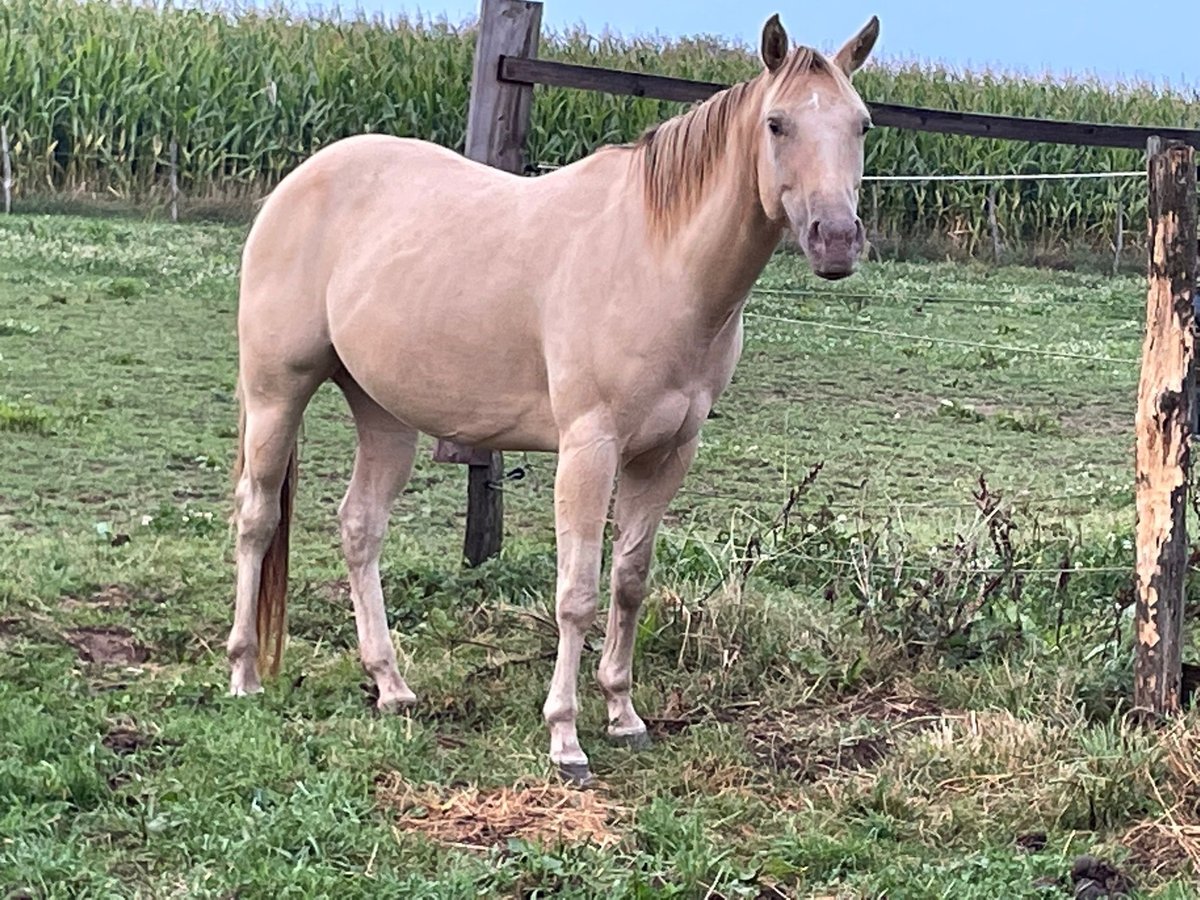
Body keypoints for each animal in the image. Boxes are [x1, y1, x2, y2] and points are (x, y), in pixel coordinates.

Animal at [226, 12, 883, 782]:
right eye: (777, 124)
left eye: (861, 124)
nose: (836, 240)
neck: (657, 260)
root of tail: (296, 183)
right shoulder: (589, 448)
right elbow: (577, 595)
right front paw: (565, 738)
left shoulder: (668, 453)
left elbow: (629, 580)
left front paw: (624, 714)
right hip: (277, 393)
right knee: (256, 518)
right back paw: (244, 673)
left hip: (383, 413)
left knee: (360, 528)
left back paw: (392, 685)